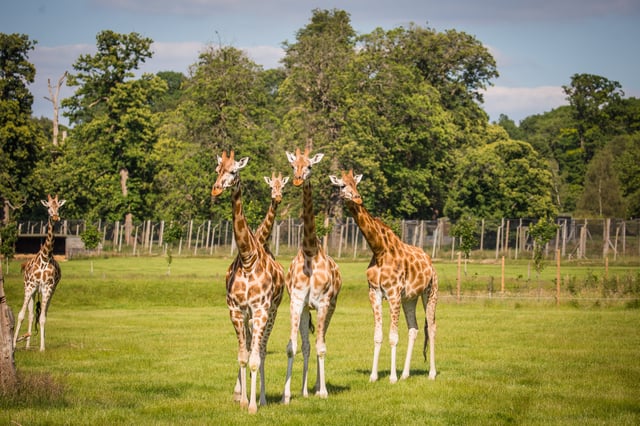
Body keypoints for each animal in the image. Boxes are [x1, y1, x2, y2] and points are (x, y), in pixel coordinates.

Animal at [13, 194, 66, 352]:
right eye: (48, 207)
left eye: (58, 207)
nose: (55, 217)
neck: (45, 256)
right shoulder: (30, 286)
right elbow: (21, 315)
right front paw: (13, 344)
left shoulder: (47, 287)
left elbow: (42, 317)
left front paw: (42, 347)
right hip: (30, 288)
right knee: (30, 314)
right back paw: (26, 343)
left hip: (48, 291)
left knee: (42, 313)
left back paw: (32, 343)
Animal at [211, 150, 285, 414]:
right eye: (218, 170)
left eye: (234, 171)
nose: (215, 189)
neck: (247, 258)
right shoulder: (236, 310)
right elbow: (242, 356)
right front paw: (241, 399)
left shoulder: (260, 309)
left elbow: (255, 358)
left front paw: (253, 405)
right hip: (249, 317)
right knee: (252, 347)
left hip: (272, 313)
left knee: (261, 350)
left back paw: (262, 399)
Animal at [329, 170, 438, 382]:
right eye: (342, 185)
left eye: (356, 183)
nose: (357, 197)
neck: (379, 250)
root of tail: (431, 263)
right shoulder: (375, 293)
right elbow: (378, 335)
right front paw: (374, 376)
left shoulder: (394, 293)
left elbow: (393, 337)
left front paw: (392, 377)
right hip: (410, 298)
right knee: (414, 328)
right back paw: (405, 374)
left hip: (430, 292)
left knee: (432, 327)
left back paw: (431, 373)